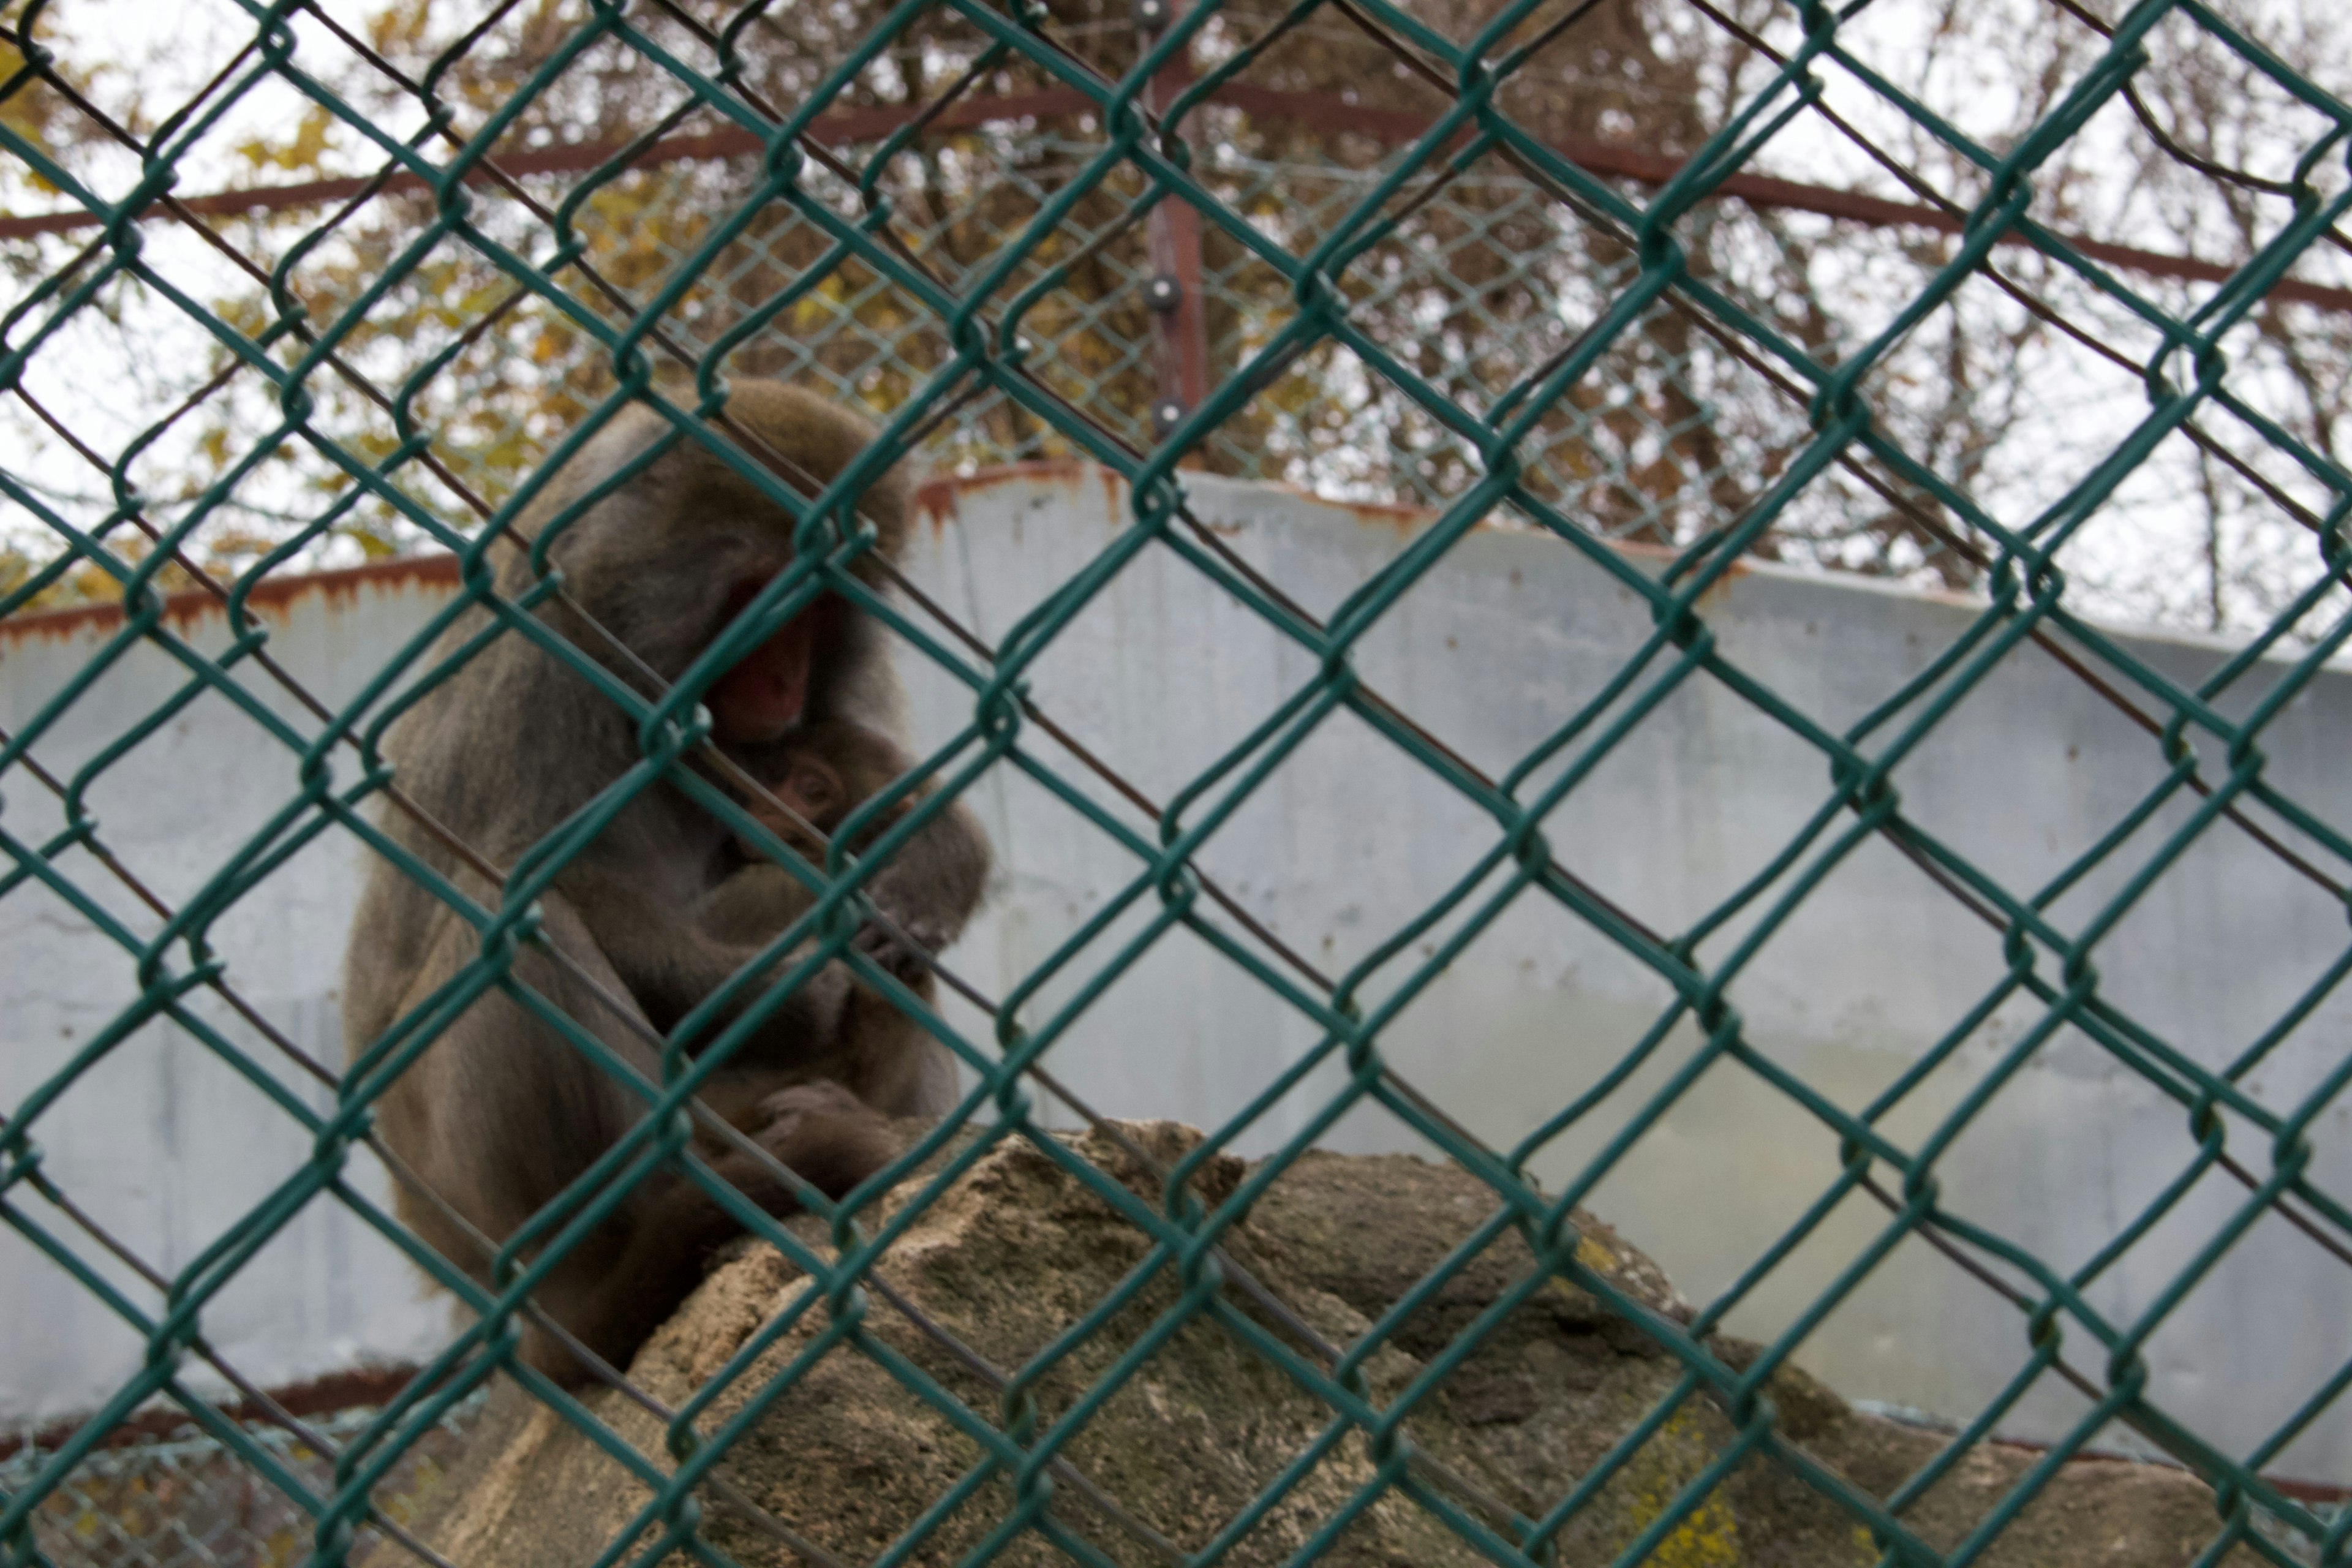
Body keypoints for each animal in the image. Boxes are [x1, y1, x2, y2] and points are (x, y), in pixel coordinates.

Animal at [341, 383, 983, 1382]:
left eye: (818, 606)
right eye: (760, 594)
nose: (783, 680)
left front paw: (932, 867)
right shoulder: (543, 660)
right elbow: (529, 875)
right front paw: (781, 993)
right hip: (467, 1197)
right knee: (515, 931)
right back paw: (655, 1232)